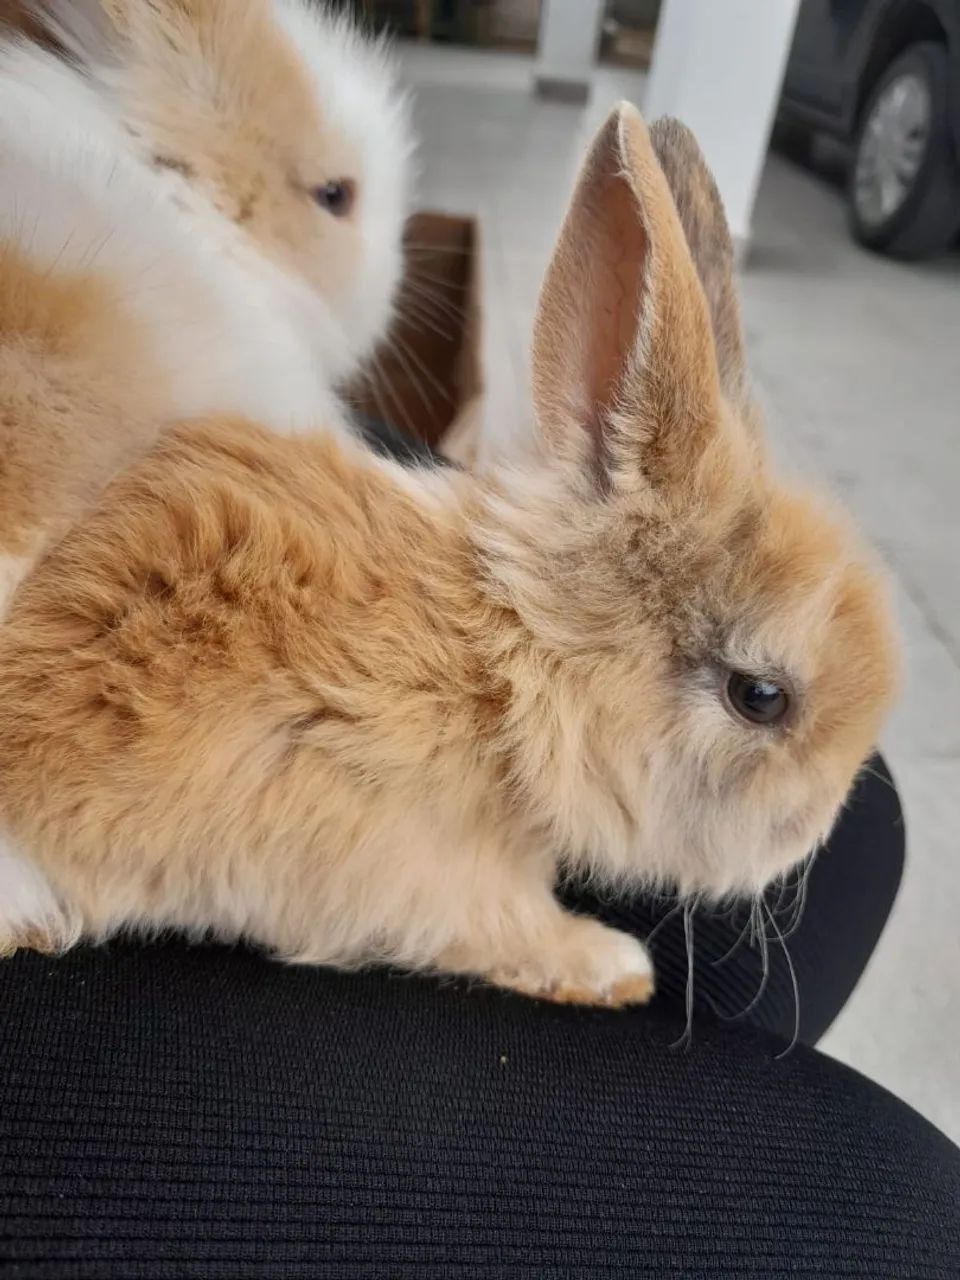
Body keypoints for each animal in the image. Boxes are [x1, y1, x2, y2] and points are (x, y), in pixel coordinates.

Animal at [0, 105, 898, 1006]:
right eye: (761, 697)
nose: (809, 833)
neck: (507, 675)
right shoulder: (445, 887)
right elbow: (516, 930)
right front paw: (618, 969)